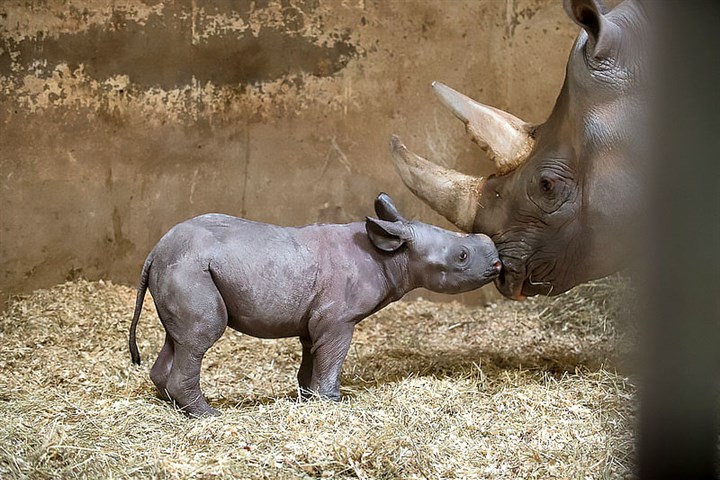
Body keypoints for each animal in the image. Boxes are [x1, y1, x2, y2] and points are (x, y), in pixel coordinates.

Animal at [128, 193, 500, 417]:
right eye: (462, 257)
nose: (498, 263)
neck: (392, 254)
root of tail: (155, 250)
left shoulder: (316, 316)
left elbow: (311, 355)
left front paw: (308, 398)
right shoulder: (338, 318)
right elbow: (333, 355)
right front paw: (333, 401)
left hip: (182, 267)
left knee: (178, 338)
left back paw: (171, 405)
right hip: (190, 268)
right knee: (201, 336)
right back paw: (208, 415)